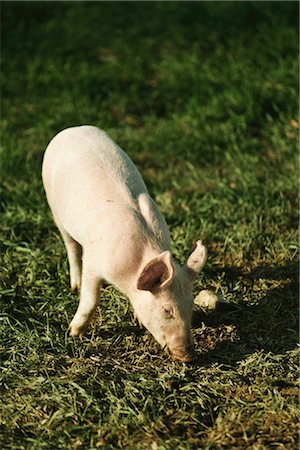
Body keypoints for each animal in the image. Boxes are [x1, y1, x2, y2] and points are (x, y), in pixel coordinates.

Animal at [41, 125, 206, 362]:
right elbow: (91, 299)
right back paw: (75, 286)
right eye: (167, 310)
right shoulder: (93, 262)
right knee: (71, 246)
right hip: (54, 208)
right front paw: (73, 333)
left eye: (190, 305)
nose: (189, 355)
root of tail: (72, 129)